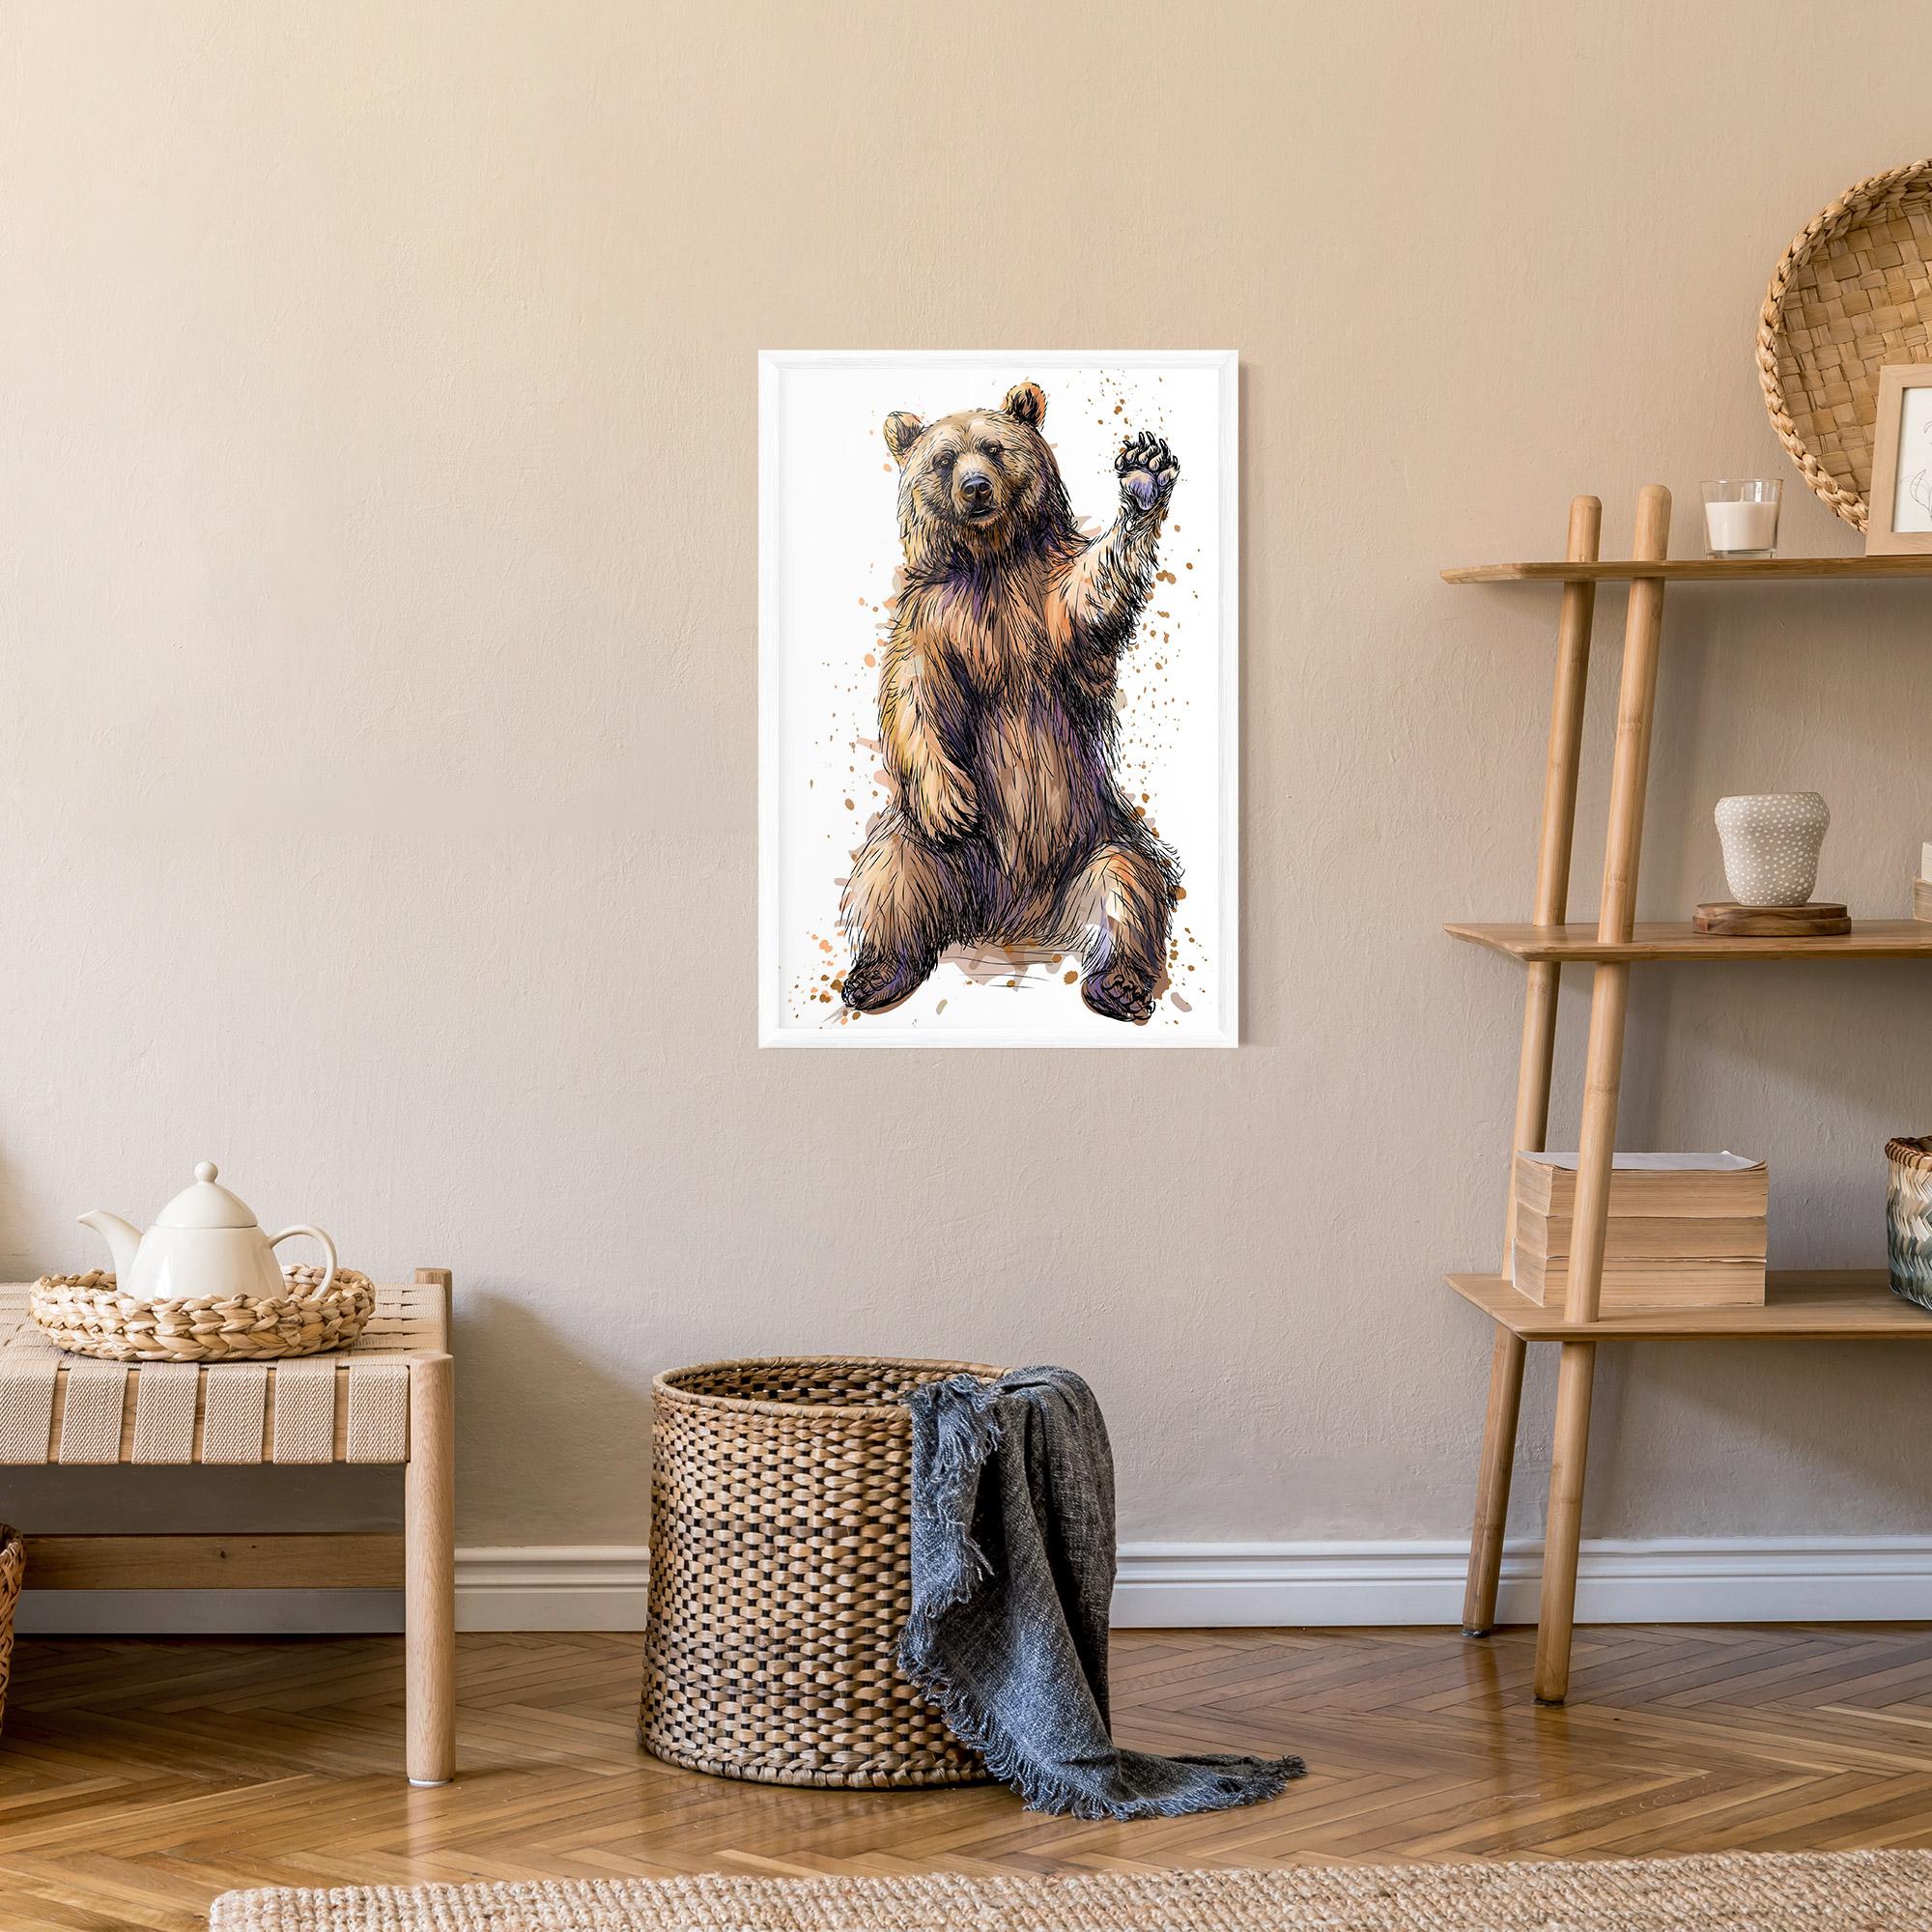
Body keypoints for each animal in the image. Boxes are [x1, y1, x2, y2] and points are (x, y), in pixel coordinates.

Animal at [840, 380, 1181, 1024]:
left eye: (995, 449)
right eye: (943, 459)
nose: (975, 487)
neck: (989, 557)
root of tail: (1015, 921)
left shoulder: (1040, 593)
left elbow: (1087, 596)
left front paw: (1144, 473)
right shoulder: (935, 616)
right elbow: (912, 694)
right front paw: (952, 802)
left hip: (1097, 838)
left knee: (1129, 888)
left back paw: (1118, 985)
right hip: (930, 849)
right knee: (888, 876)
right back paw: (876, 977)